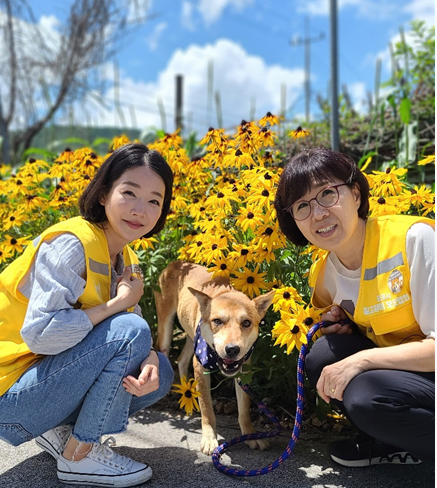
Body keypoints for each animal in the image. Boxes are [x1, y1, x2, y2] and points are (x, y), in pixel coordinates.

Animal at [155, 262, 274, 456]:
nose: (232, 349)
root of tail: (177, 263)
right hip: (166, 327)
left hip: (191, 337)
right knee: (164, 353)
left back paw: (186, 388)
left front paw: (250, 435)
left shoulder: (243, 373)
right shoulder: (201, 369)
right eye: (217, 321)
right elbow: (208, 410)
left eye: (246, 323)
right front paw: (210, 439)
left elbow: (244, 410)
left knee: (181, 360)